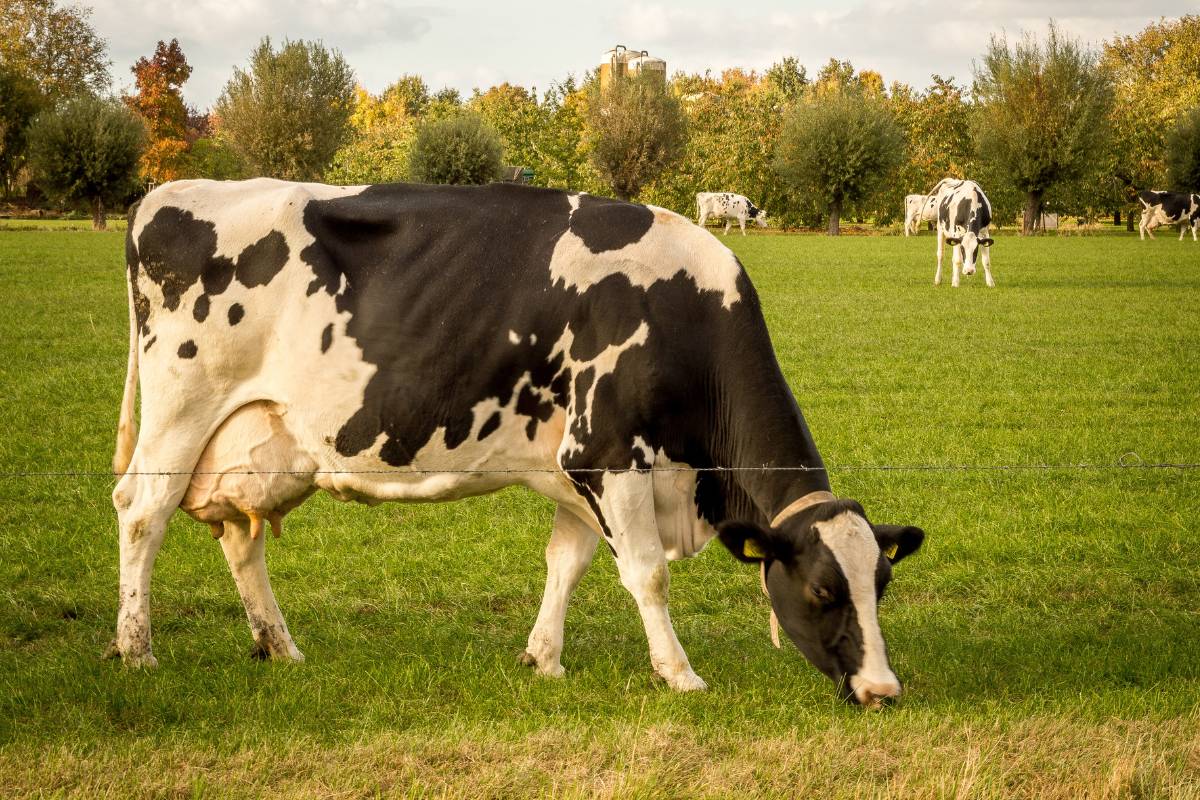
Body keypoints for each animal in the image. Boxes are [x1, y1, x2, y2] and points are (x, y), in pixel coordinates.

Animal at [110, 178, 925, 707]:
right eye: (822, 591)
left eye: (881, 584)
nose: (883, 690)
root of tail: (161, 195)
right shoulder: (609, 453)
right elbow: (647, 575)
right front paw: (679, 674)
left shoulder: (577, 472)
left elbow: (567, 562)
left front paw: (545, 659)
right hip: (182, 409)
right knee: (142, 513)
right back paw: (137, 650)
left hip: (258, 439)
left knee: (240, 539)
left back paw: (280, 647)